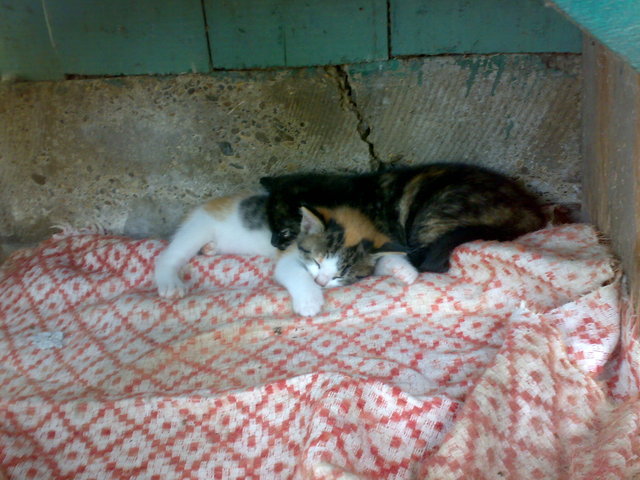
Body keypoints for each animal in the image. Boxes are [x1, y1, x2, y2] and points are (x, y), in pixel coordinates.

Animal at [154, 193, 417, 317]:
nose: (321, 282)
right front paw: (309, 301)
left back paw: (210, 248)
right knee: (170, 255)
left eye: (340, 275)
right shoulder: (289, 253)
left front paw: (402, 268)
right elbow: (295, 272)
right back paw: (170, 282)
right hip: (200, 226)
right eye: (316, 261)